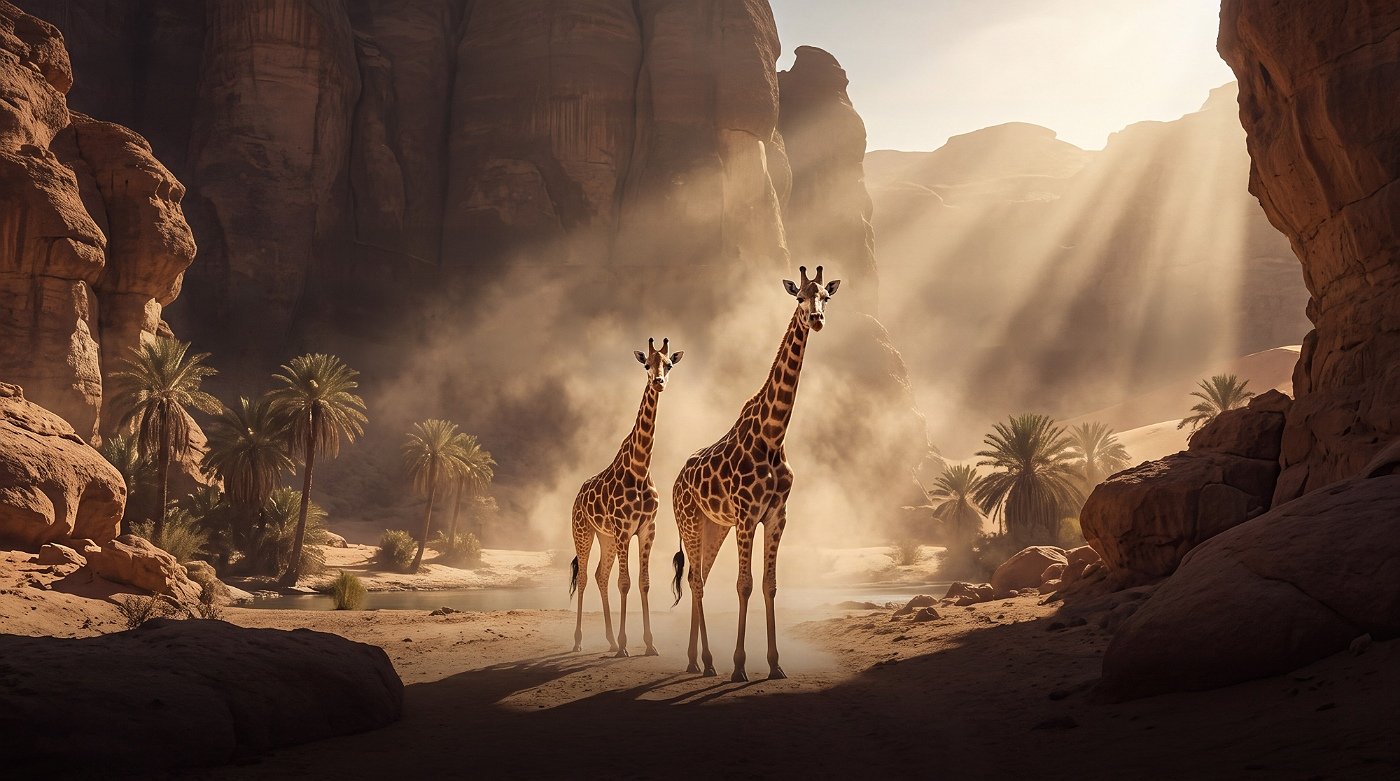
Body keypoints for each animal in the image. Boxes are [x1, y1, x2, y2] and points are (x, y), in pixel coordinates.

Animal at [569, 337, 683, 657]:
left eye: (668, 364)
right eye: (646, 365)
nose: (658, 382)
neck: (640, 467)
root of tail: (577, 496)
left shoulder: (646, 529)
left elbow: (643, 582)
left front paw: (649, 643)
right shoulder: (623, 529)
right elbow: (625, 582)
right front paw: (624, 646)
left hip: (605, 537)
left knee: (600, 575)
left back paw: (607, 639)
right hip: (583, 532)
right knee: (585, 577)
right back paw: (579, 641)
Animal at [669, 265, 841, 681]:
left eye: (826, 297)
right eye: (800, 298)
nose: (816, 319)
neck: (773, 435)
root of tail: (675, 482)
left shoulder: (777, 515)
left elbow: (770, 585)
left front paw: (776, 664)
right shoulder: (747, 516)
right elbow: (744, 584)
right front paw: (739, 667)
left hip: (715, 526)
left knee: (700, 578)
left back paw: (697, 660)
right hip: (691, 522)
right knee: (697, 581)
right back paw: (707, 662)